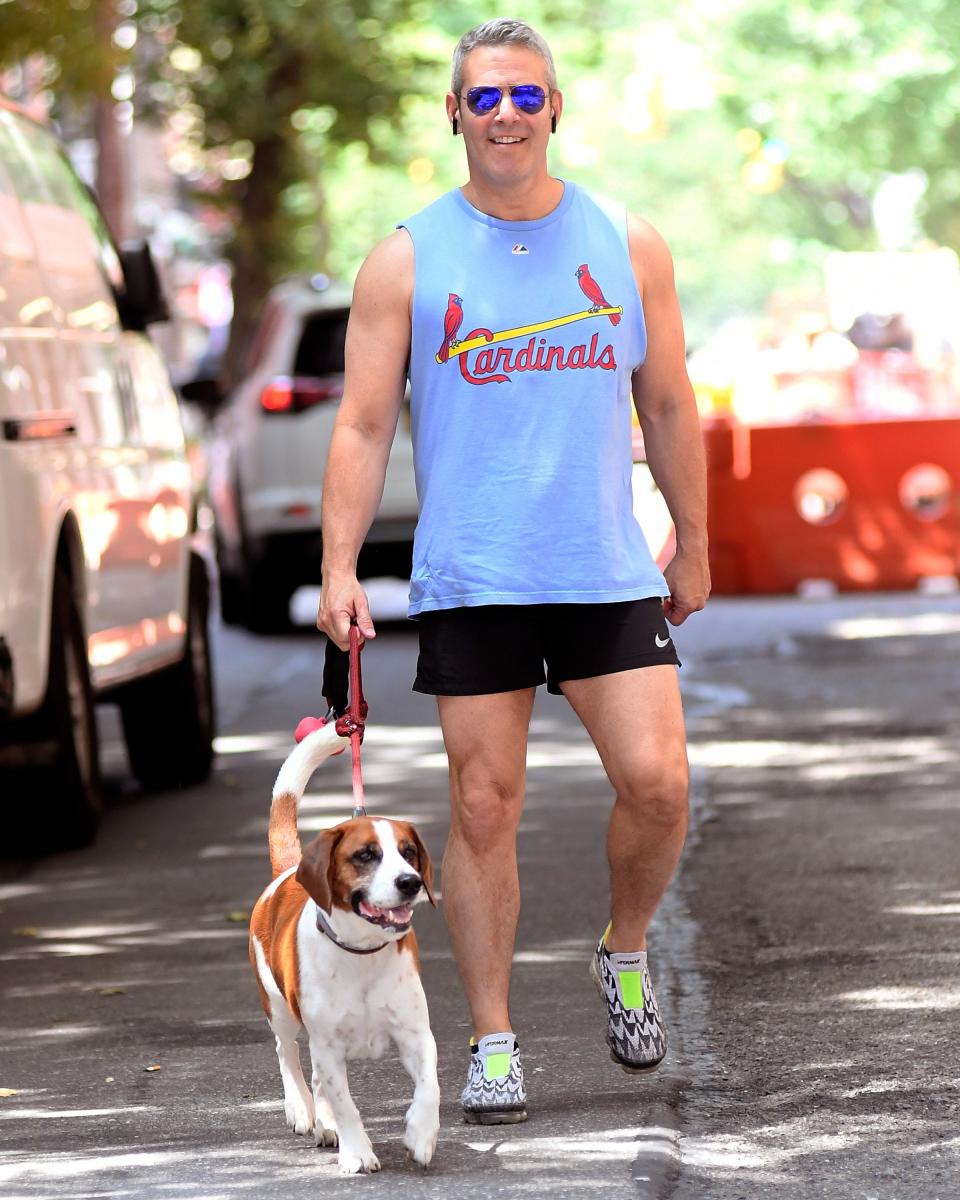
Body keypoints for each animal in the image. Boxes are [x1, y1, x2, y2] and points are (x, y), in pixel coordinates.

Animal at [247, 715, 441, 1176]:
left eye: (408, 852)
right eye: (366, 855)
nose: (410, 882)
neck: (363, 955)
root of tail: (287, 873)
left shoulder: (416, 1035)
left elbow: (431, 1088)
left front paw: (419, 1134)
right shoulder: (329, 1045)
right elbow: (347, 1104)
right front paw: (357, 1152)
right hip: (279, 1008)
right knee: (289, 1054)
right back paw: (303, 1109)